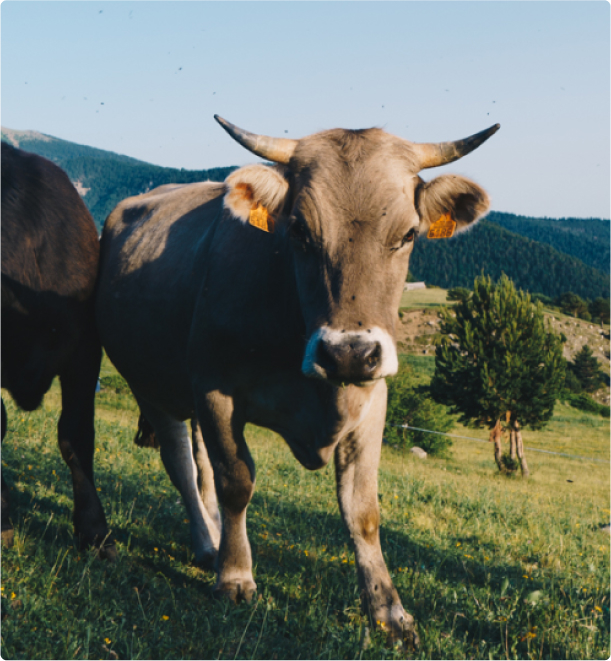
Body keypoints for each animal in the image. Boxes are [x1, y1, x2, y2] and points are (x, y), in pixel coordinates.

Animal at [94, 116, 498, 640]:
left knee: (201, 466)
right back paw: (208, 543)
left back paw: (213, 541)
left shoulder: (372, 399)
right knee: (181, 463)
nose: (349, 353)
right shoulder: (217, 391)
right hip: (153, 384)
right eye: (300, 231)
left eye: (409, 234)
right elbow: (236, 482)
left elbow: (363, 510)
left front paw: (388, 609)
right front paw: (235, 576)